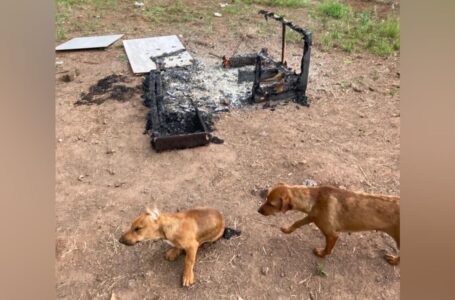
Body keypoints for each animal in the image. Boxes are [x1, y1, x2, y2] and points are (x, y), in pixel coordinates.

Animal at [258, 183, 400, 264]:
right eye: (266, 198)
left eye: (271, 204)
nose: (258, 211)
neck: (315, 199)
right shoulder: (312, 217)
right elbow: (297, 223)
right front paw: (287, 230)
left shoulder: (331, 234)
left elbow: (328, 249)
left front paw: (321, 254)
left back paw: (394, 261)